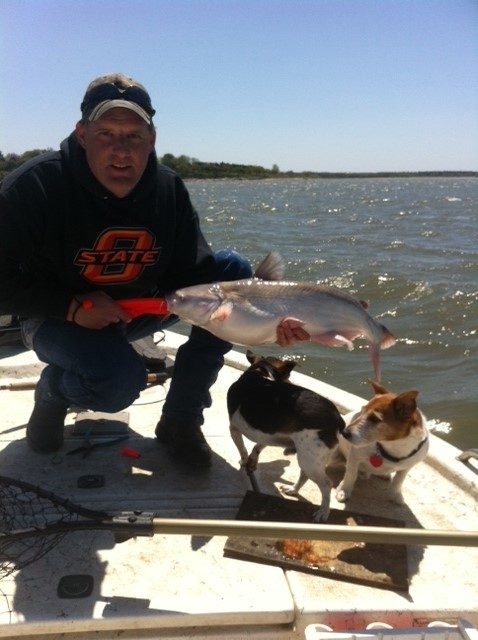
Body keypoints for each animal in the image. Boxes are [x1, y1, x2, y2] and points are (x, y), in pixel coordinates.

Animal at [227, 350, 345, 522]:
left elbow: (242, 449)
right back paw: (293, 490)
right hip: (308, 458)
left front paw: (244, 461)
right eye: (289, 376)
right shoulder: (269, 435)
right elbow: (256, 447)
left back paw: (323, 511)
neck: (260, 372)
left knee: (326, 484)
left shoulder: (234, 429)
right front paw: (252, 461)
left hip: (309, 459)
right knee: (304, 475)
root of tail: (337, 418)